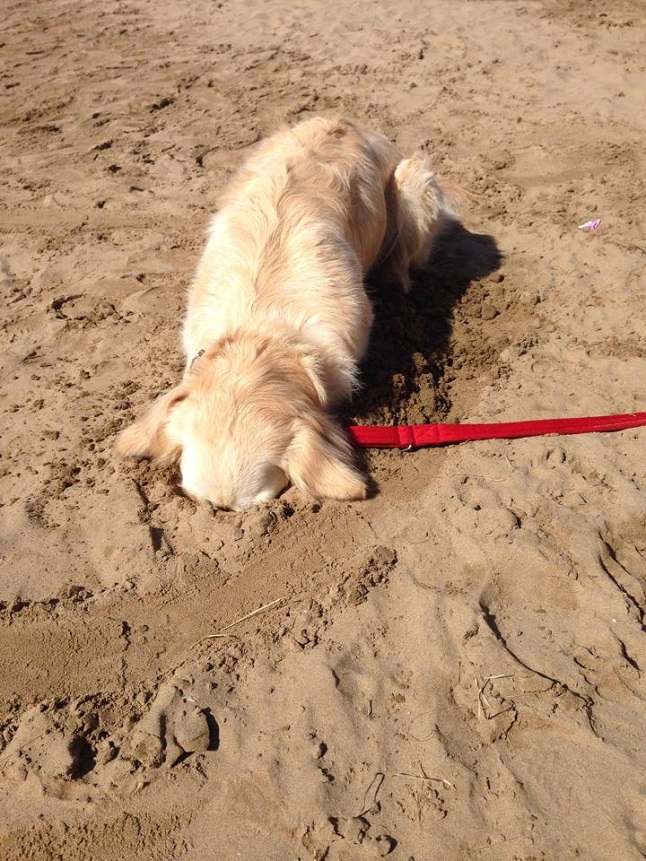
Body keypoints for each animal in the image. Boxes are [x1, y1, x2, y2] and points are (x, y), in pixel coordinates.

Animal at [117, 116, 460, 508]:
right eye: (206, 506)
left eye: (258, 506)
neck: (259, 331)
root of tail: (342, 120)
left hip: (413, 186)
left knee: (402, 261)